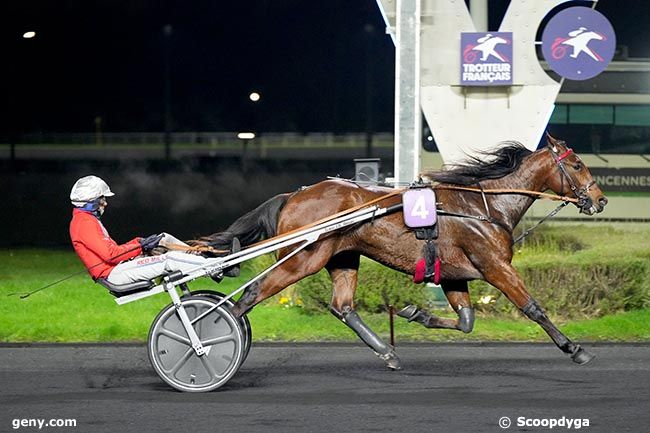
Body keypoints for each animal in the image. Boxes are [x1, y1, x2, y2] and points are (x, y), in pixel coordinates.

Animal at [197, 135, 608, 368]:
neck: (485, 206)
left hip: (341, 257)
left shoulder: (455, 275)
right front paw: (574, 348)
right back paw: (207, 343)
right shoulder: (495, 266)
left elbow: (466, 321)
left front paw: (416, 313)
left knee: (342, 307)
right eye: (576, 164)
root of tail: (293, 195)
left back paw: (388, 353)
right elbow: (533, 308)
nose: (600, 200)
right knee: (246, 298)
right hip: (301, 259)